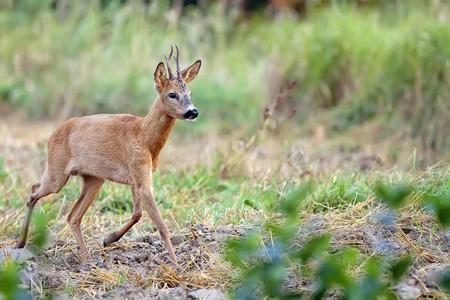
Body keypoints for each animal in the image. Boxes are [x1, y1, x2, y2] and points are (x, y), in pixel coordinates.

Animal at [15, 45, 202, 264]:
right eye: (172, 94)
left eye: (190, 92)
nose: (193, 112)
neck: (144, 138)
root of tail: (54, 133)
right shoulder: (139, 173)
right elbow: (162, 226)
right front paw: (175, 265)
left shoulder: (136, 177)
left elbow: (137, 214)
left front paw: (109, 238)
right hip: (56, 172)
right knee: (34, 190)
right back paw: (21, 243)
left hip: (94, 179)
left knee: (72, 216)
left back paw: (87, 258)